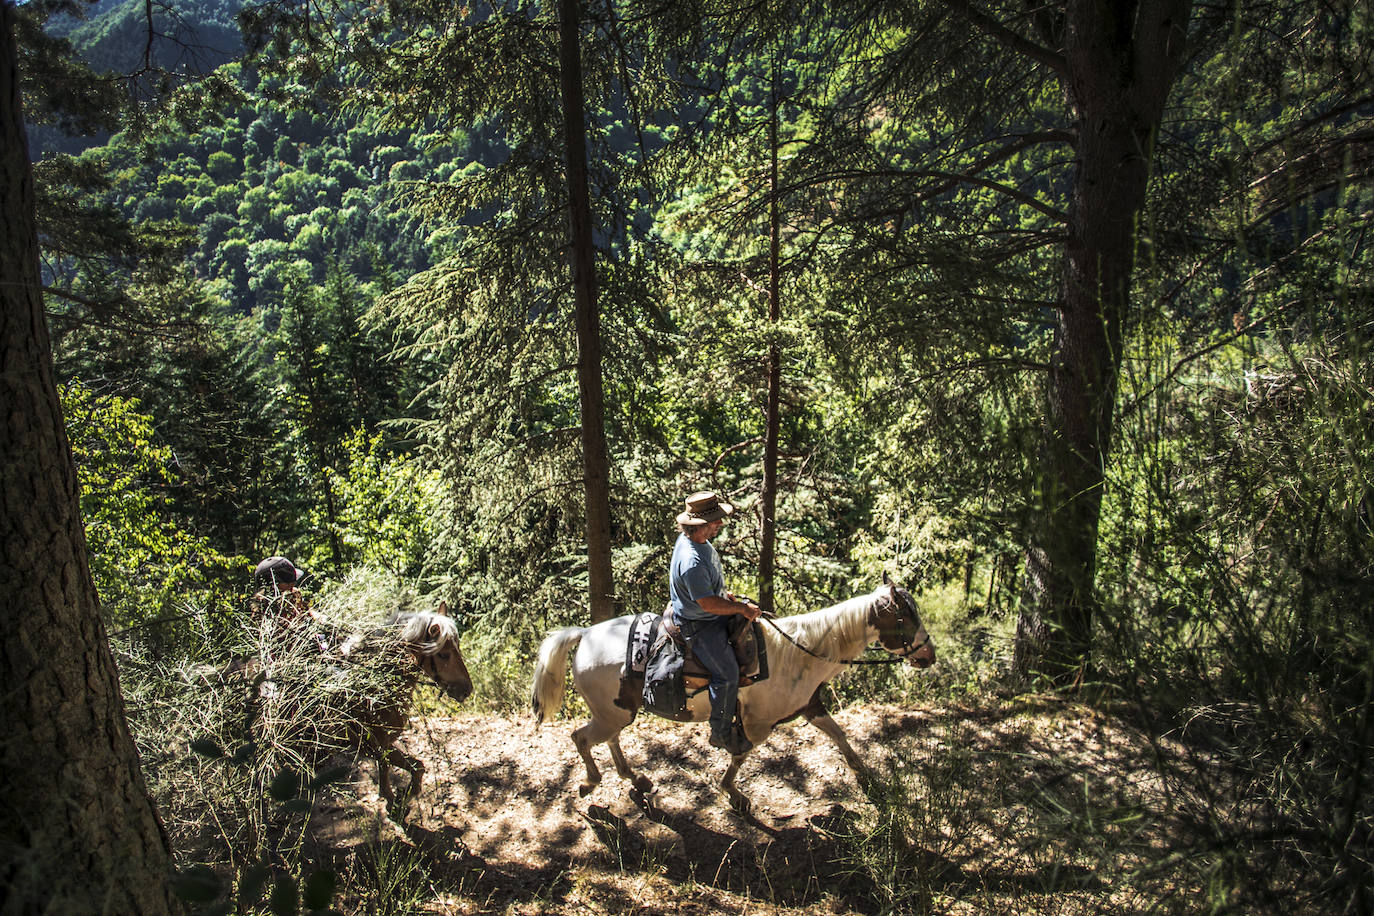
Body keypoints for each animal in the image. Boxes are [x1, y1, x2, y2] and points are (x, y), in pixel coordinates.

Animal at [524, 585, 934, 813]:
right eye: (906, 618)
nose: (928, 656)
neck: (800, 651)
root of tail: (584, 634)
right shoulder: (758, 723)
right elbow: (740, 755)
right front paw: (734, 793)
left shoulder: (810, 706)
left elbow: (839, 735)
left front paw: (865, 775)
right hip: (612, 712)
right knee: (582, 738)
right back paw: (591, 782)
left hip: (618, 711)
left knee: (609, 739)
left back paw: (636, 779)